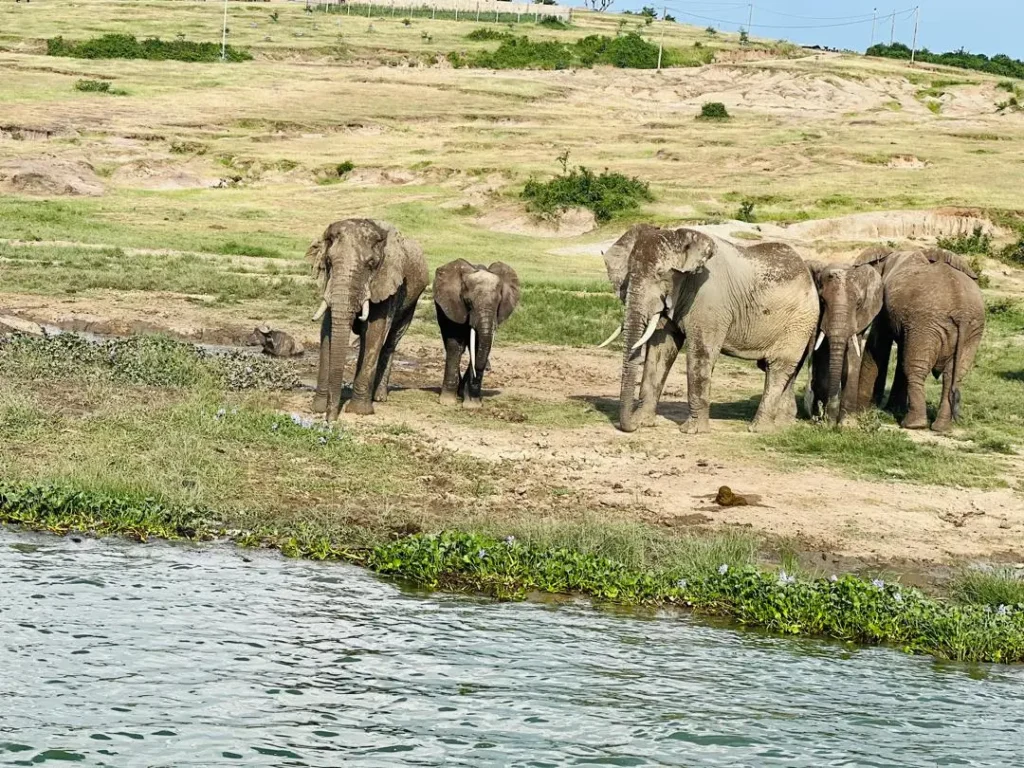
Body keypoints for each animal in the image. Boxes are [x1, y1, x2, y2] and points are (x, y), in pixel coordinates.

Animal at [307, 219, 428, 420]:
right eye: (329, 261)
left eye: (371, 264)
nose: (330, 420)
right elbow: (327, 329)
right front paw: (318, 408)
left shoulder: (387, 283)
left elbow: (374, 330)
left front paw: (359, 411)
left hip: (412, 301)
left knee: (391, 340)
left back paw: (378, 397)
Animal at [432, 259, 520, 408]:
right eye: (468, 302)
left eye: (498, 303)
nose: (488, 369)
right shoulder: (454, 305)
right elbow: (456, 345)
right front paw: (447, 402)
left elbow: (480, 345)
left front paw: (472, 404)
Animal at [604, 225, 819, 433]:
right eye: (628, 274)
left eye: (659, 274)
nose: (629, 426)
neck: (679, 236)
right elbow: (660, 350)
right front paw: (642, 423)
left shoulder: (709, 299)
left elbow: (700, 352)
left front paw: (692, 431)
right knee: (782, 369)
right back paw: (782, 425)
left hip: (799, 321)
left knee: (778, 366)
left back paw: (759, 429)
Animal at [803, 261, 884, 424]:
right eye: (822, 301)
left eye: (858, 304)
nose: (830, 419)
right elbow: (824, 356)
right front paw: (826, 420)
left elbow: (853, 356)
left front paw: (846, 424)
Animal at [854, 246, 985, 431]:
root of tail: (962, 312)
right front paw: (891, 409)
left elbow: (877, 345)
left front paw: (863, 409)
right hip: (968, 329)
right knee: (952, 374)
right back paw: (941, 427)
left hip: (929, 323)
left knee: (915, 368)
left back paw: (913, 424)